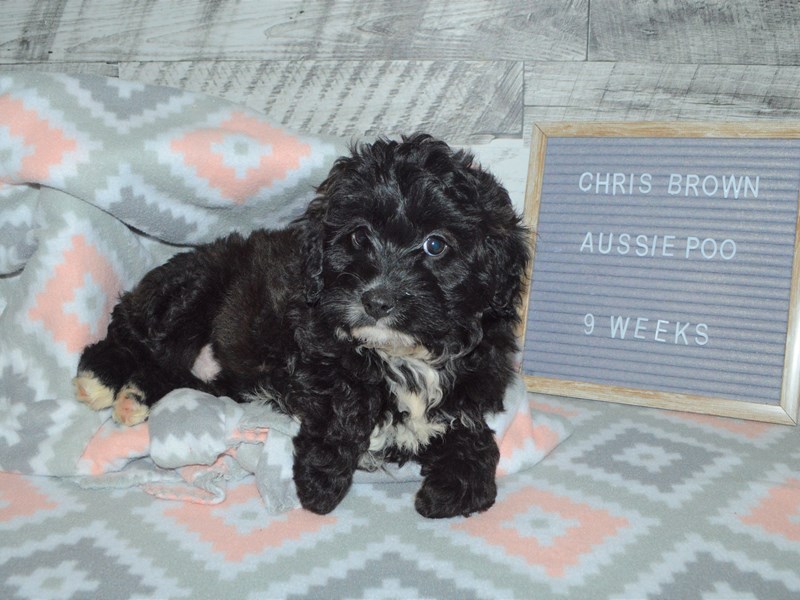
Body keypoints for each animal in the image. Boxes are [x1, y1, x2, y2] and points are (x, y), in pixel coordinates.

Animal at [72, 134, 528, 516]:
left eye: (436, 245)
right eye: (359, 237)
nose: (376, 301)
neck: (403, 354)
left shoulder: (470, 388)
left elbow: (471, 434)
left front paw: (455, 488)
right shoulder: (317, 353)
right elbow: (343, 407)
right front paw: (319, 482)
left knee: (174, 370)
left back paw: (137, 394)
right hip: (192, 290)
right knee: (132, 330)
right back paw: (102, 378)